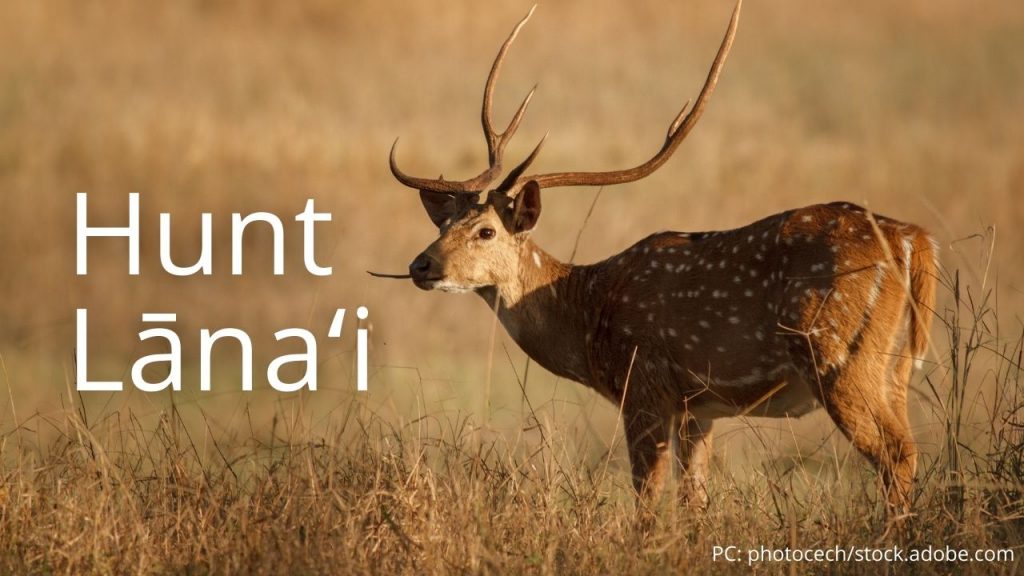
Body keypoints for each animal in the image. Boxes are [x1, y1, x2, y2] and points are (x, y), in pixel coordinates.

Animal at [380, 0, 937, 516]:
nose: (420, 265)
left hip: (838, 352)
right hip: (893, 368)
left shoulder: (643, 384)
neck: (589, 316)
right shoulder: (698, 407)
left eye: (486, 230)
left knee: (896, 453)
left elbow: (646, 499)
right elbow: (694, 501)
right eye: (444, 224)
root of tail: (913, 240)